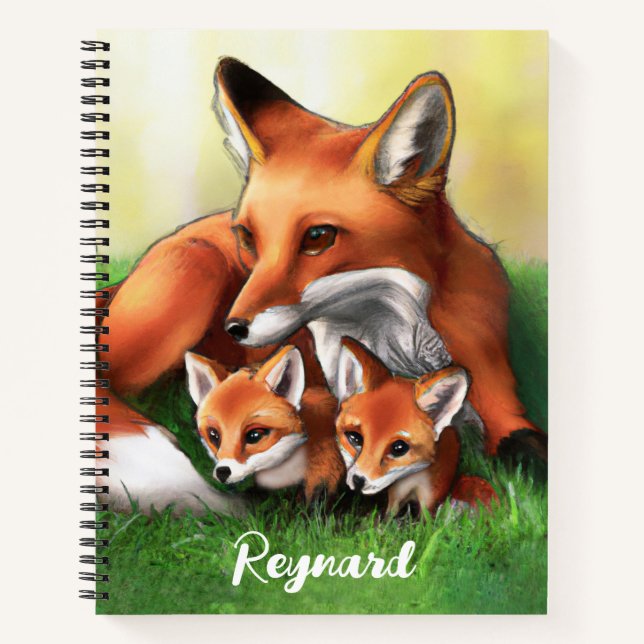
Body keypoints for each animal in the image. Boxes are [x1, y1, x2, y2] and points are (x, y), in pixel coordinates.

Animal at [335, 337, 497, 514]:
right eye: (354, 438)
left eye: (399, 448)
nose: (358, 481)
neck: (413, 479)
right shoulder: (395, 496)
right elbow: (388, 518)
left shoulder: (430, 497)